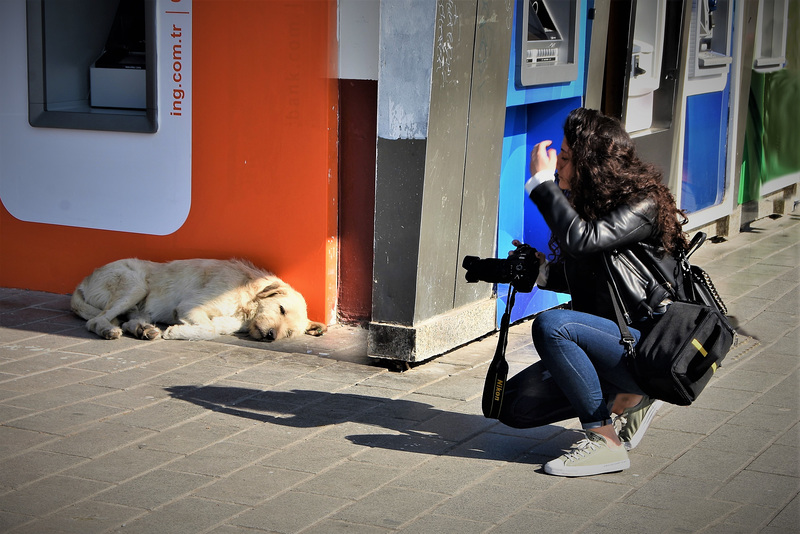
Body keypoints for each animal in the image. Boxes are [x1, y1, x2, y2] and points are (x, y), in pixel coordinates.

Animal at [71, 260, 324, 344]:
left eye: (288, 333)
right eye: (281, 309)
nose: (271, 336)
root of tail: (83, 281)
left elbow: (213, 328)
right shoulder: (190, 306)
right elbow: (209, 330)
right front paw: (176, 332)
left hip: (139, 304)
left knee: (125, 321)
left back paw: (144, 330)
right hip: (135, 285)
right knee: (95, 320)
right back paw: (108, 331)